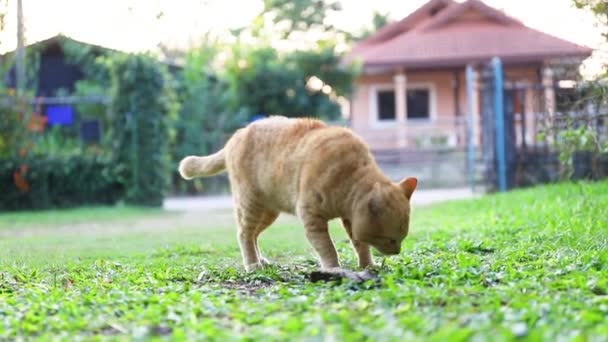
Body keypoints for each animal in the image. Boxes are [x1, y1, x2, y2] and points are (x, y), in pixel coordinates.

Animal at [179, 116, 418, 272]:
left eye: (402, 238)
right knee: (244, 234)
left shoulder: (349, 219)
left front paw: (368, 265)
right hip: (251, 205)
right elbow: (328, 248)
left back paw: (261, 260)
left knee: (253, 235)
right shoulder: (312, 218)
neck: (349, 174)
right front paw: (334, 269)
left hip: (267, 212)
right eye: (390, 239)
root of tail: (236, 136)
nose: (397, 251)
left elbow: (360, 245)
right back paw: (253, 265)